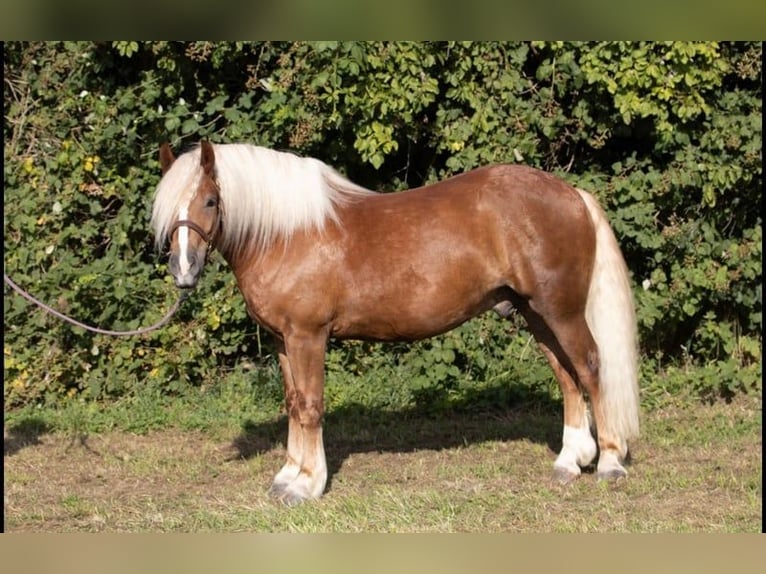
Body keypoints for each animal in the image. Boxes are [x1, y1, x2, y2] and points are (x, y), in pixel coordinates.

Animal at [152, 141, 639, 505]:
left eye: (210, 200)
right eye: (164, 206)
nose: (183, 269)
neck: (286, 234)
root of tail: (573, 194)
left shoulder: (308, 337)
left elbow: (310, 406)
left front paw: (307, 484)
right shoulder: (283, 341)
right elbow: (292, 403)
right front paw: (288, 476)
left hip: (562, 311)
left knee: (590, 368)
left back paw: (610, 463)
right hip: (536, 314)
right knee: (566, 375)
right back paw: (570, 462)